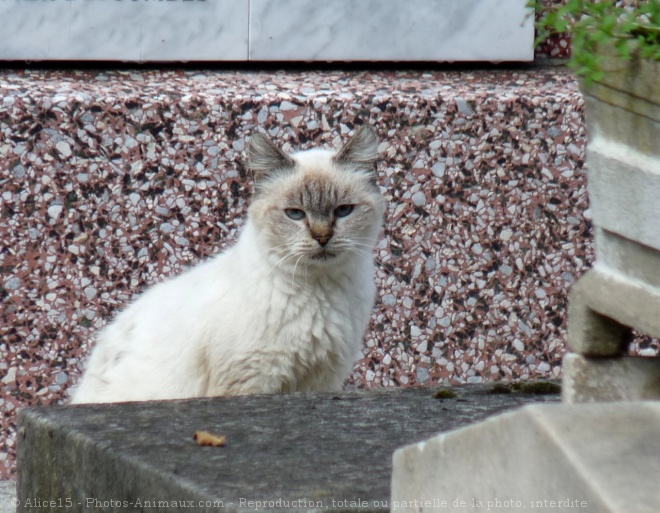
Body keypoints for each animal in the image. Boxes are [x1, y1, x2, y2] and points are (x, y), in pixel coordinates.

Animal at [71, 126, 386, 402]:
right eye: (295, 214)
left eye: (343, 211)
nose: (322, 237)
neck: (320, 291)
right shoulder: (253, 379)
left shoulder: (321, 380)